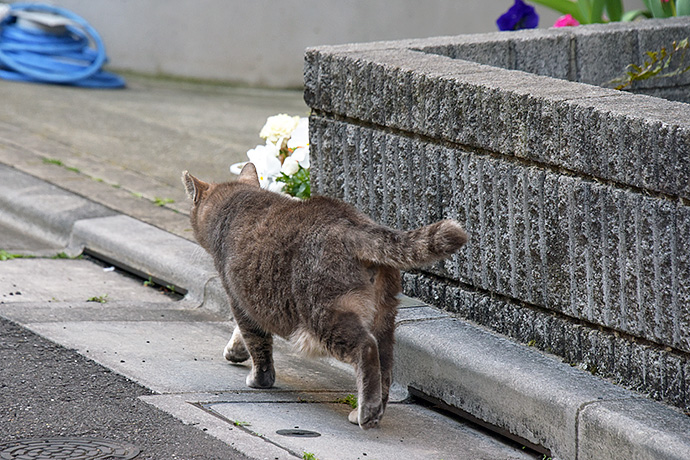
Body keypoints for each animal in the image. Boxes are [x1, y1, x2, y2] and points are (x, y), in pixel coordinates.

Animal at [183, 163, 464, 428]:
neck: (237, 203)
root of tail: (356, 225)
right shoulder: (252, 302)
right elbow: (244, 334)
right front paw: (235, 350)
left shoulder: (239, 300)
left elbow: (257, 343)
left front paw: (259, 378)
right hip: (384, 316)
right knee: (384, 365)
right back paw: (368, 409)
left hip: (324, 314)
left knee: (366, 347)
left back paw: (366, 414)